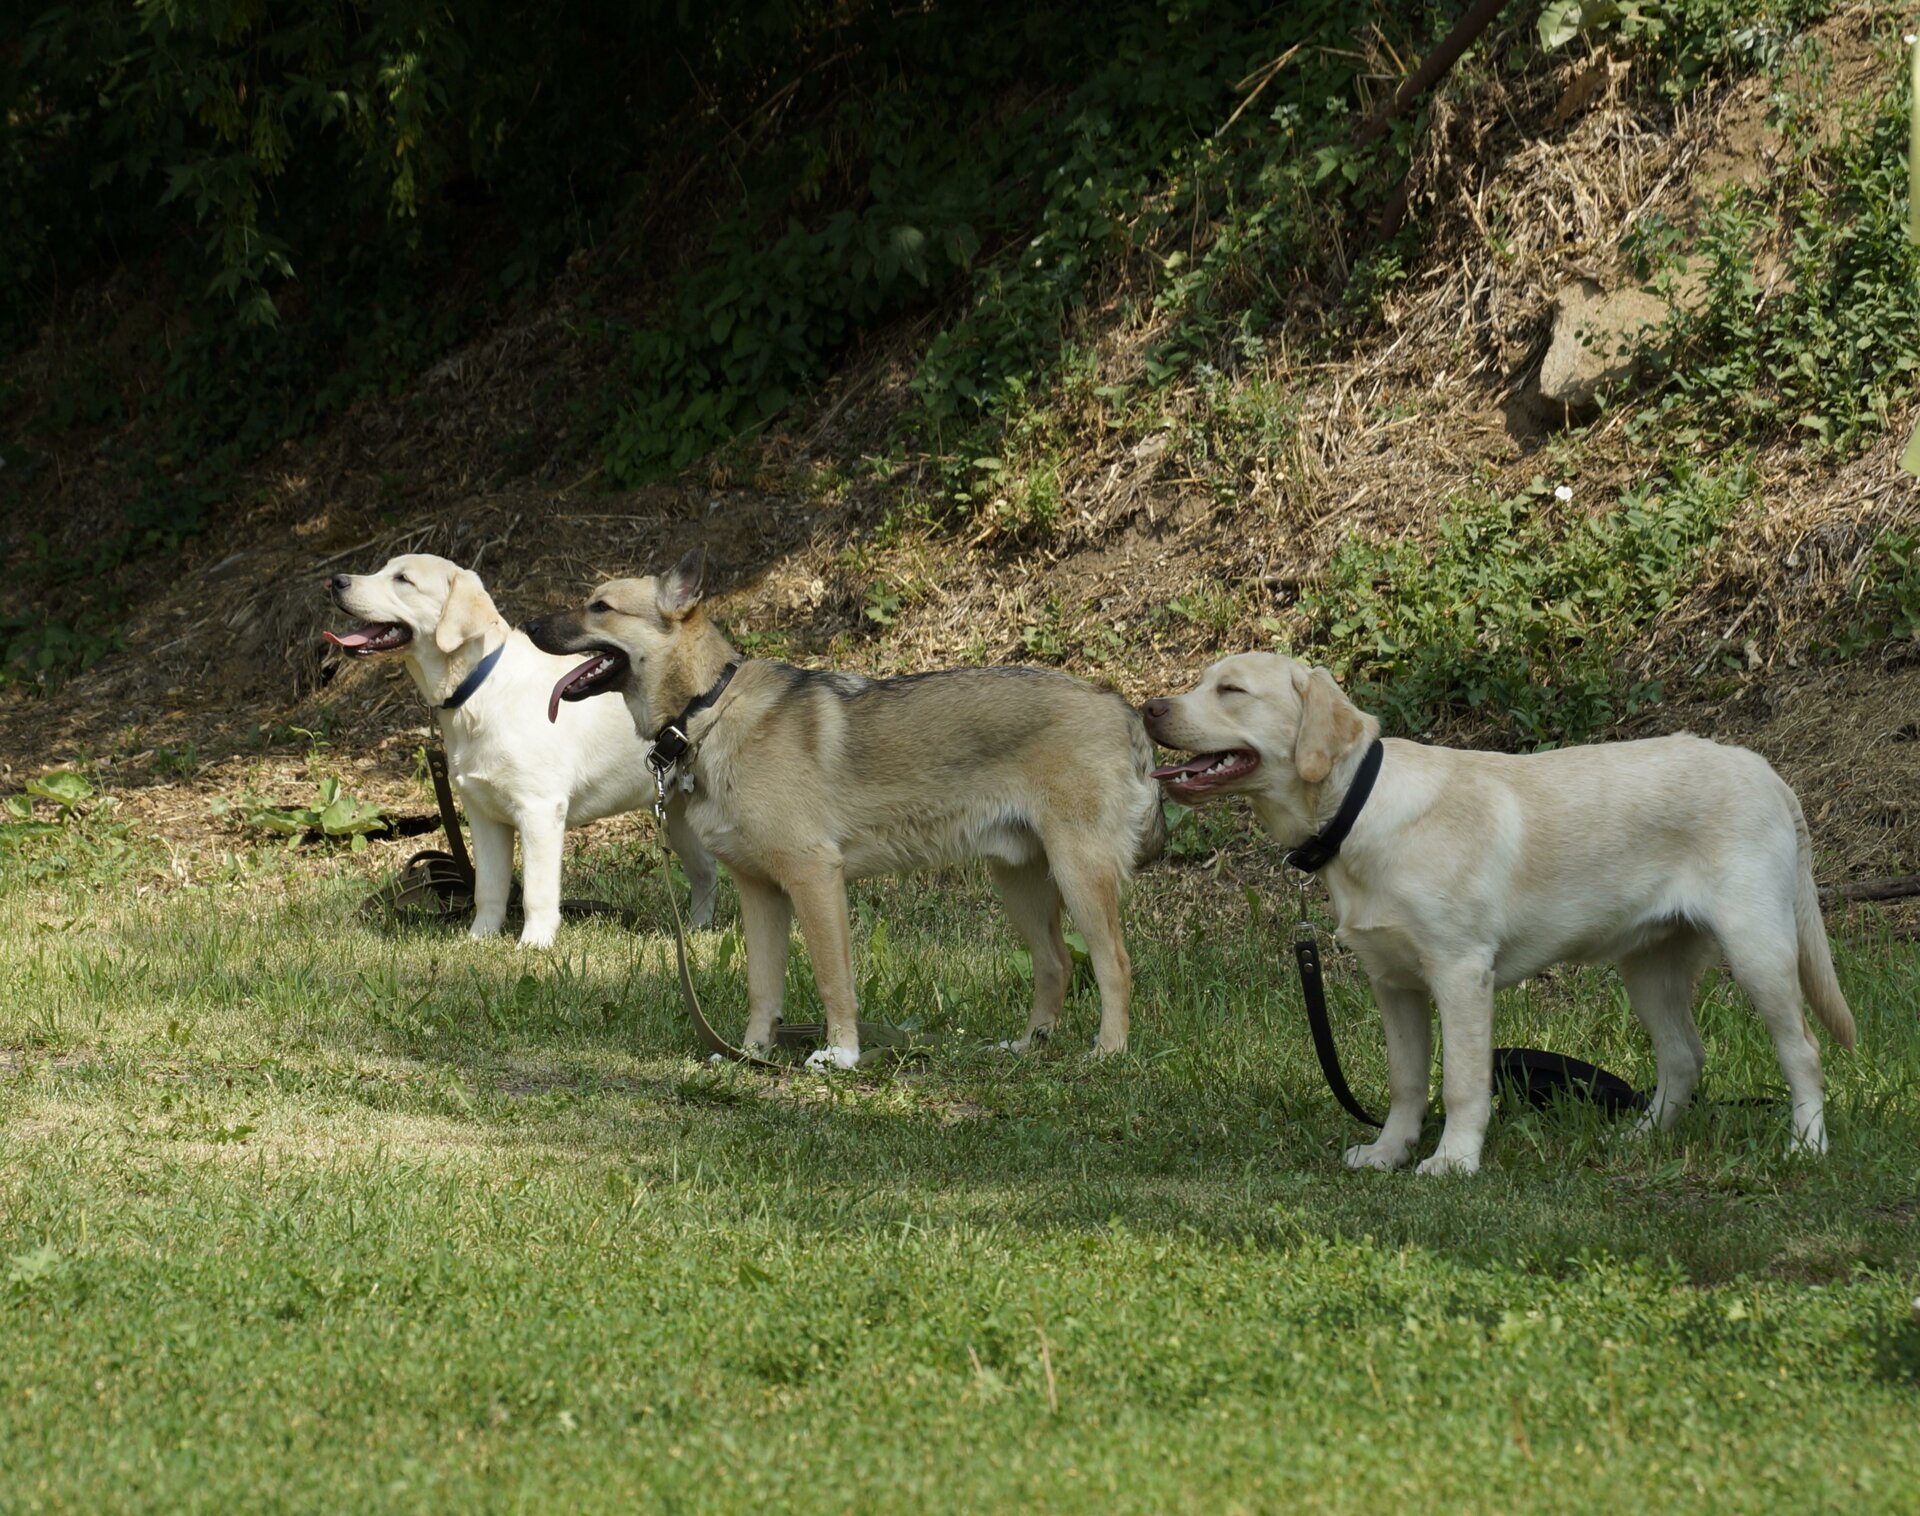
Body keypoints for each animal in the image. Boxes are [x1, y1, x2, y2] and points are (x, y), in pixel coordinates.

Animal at [326, 552, 718, 944]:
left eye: (403, 579)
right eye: (381, 569)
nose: (336, 581)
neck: (479, 688)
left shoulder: (539, 810)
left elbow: (536, 892)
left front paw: (535, 943)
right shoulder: (483, 815)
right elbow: (488, 888)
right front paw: (479, 938)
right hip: (677, 818)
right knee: (706, 873)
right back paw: (697, 929)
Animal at [526, 544, 1159, 1066]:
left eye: (599, 606)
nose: (529, 623)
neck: (709, 708)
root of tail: (1121, 707)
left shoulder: (815, 880)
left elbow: (834, 980)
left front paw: (841, 1054)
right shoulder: (761, 893)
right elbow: (764, 986)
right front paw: (752, 1054)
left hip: (1078, 874)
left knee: (1115, 966)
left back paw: (1108, 1051)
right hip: (1021, 882)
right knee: (1055, 965)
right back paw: (1029, 1047)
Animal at [1144, 652, 1850, 1174]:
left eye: (1231, 690)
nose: (1150, 706)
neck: (1359, 809)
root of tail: (1765, 770)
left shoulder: (1460, 973)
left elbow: (1460, 1081)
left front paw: (1454, 1160)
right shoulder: (1392, 982)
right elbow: (1406, 1081)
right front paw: (1389, 1153)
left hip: (1759, 951)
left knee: (1804, 1052)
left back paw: (1807, 1146)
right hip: (1649, 966)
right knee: (1684, 1058)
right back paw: (1642, 1139)